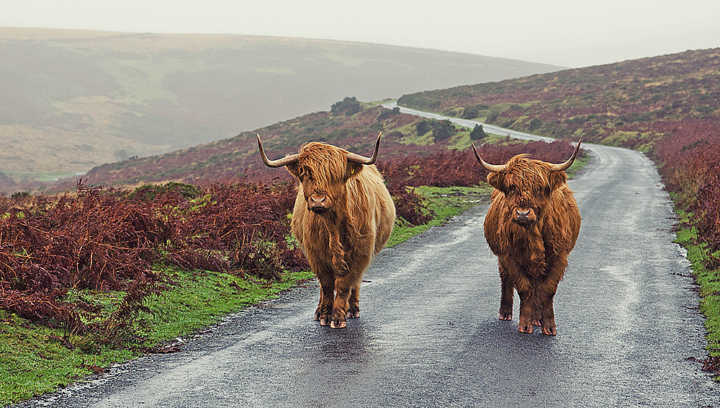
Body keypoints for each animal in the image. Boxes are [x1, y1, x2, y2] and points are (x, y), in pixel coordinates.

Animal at [258, 132, 396, 330]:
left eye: (335, 175)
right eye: (305, 173)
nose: (318, 200)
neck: (333, 225)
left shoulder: (361, 253)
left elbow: (345, 284)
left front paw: (338, 317)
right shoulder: (315, 255)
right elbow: (327, 285)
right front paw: (325, 315)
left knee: (355, 282)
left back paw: (352, 309)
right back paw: (319, 311)